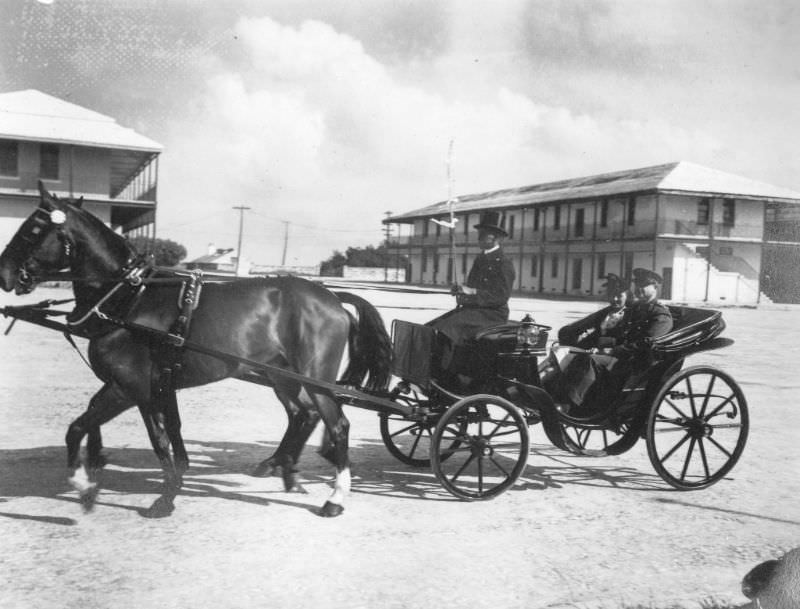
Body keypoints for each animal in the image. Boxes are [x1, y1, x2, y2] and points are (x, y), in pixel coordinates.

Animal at [0, 182, 394, 516]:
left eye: (32, 229)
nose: (4, 274)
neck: (130, 298)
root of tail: (332, 296)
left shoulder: (135, 388)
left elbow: (151, 438)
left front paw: (159, 495)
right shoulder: (137, 386)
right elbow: (92, 423)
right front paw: (92, 472)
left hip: (315, 378)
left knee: (337, 424)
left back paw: (335, 497)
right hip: (282, 376)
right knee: (303, 415)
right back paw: (284, 470)